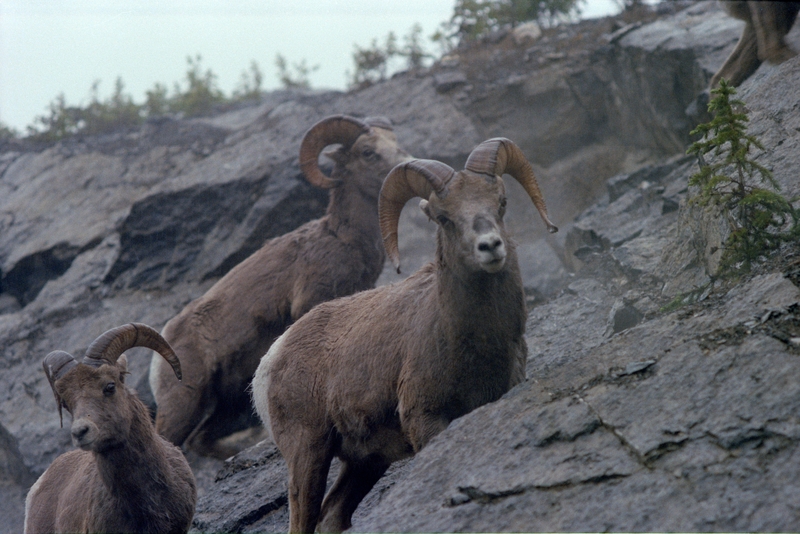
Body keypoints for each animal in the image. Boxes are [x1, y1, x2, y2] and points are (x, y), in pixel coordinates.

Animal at [149, 115, 412, 458]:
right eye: (368, 152)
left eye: (395, 144)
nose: (407, 164)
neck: (343, 239)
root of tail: (166, 336)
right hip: (185, 402)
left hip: (230, 404)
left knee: (201, 441)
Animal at [253, 137, 560, 532]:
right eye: (444, 218)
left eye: (501, 203)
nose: (490, 246)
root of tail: (272, 359)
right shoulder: (425, 419)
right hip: (308, 453)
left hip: (365, 463)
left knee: (333, 515)